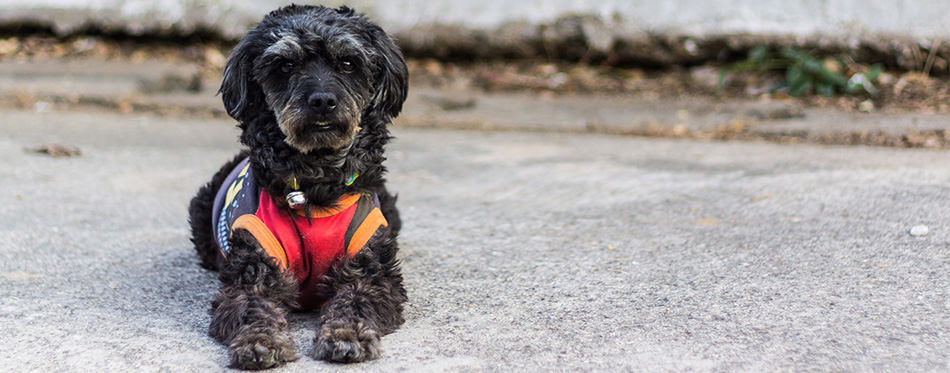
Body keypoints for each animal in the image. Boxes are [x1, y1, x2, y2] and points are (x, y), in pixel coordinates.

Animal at [188, 4, 408, 368]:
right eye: (286, 65)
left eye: (348, 63)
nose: (322, 101)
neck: (315, 188)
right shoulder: (252, 271)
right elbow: (252, 307)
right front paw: (260, 340)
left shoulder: (372, 271)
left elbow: (356, 300)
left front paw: (346, 334)